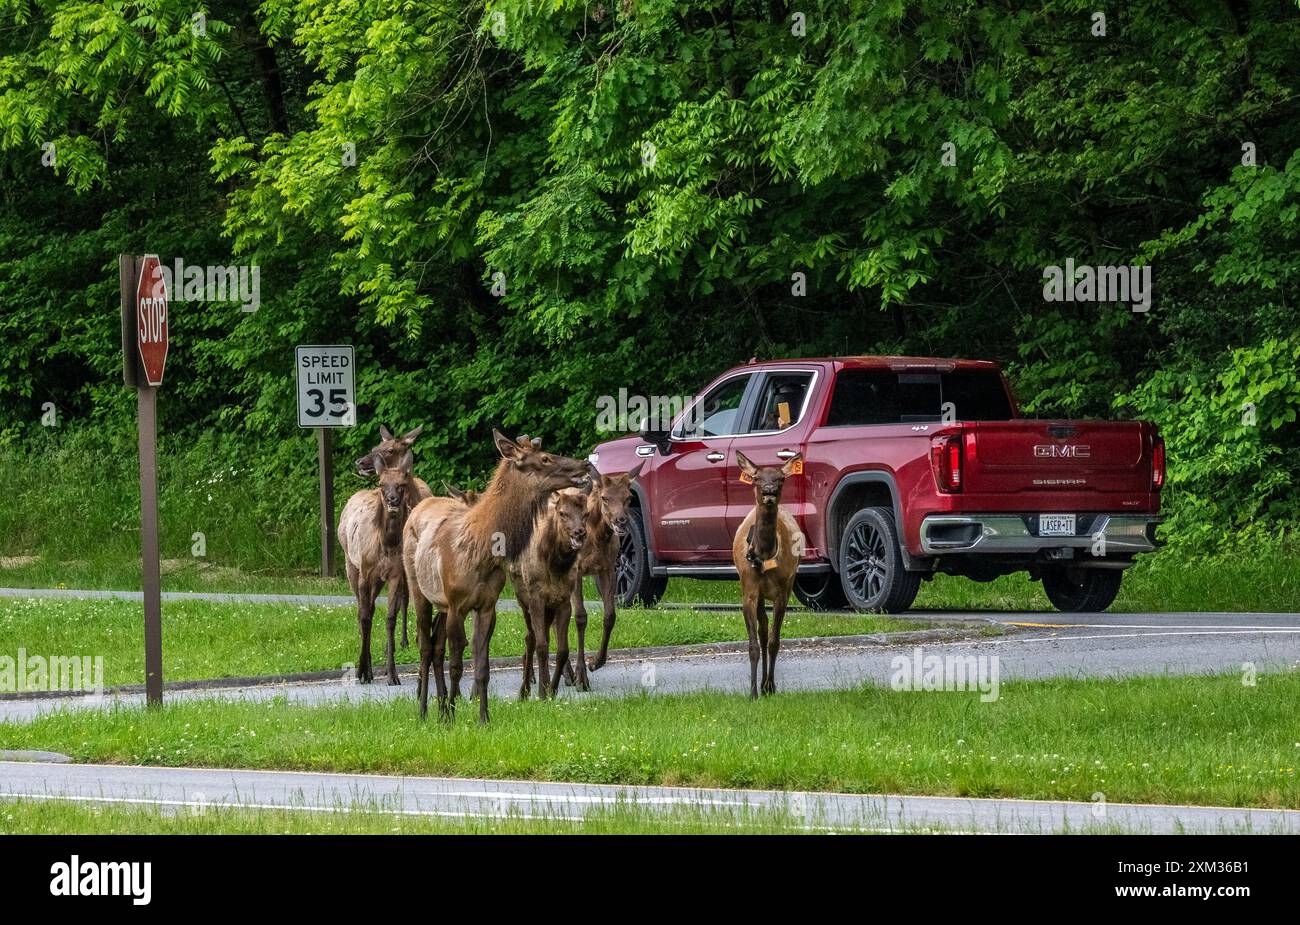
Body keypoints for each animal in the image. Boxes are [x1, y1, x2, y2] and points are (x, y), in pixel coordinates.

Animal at [338, 452, 418, 680]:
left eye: (401, 484)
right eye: (382, 484)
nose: (392, 500)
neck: (387, 545)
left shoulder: (395, 575)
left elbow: (390, 617)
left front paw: (392, 674)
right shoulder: (365, 572)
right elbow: (364, 617)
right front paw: (362, 670)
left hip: (378, 579)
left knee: (371, 608)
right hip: (350, 564)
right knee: (362, 611)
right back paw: (367, 669)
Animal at [512, 488, 590, 696]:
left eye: (586, 513)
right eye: (562, 513)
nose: (579, 532)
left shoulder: (563, 600)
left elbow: (562, 650)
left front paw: (552, 690)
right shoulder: (536, 598)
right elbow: (541, 646)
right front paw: (542, 691)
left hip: (549, 607)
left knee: (542, 635)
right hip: (523, 599)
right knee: (530, 638)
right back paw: (524, 690)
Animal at [733, 452, 800, 696]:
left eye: (781, 478)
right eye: (756, 478)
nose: (769, 491)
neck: (764, 555)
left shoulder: (782, 593)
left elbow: (774, 642)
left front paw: (770, 686)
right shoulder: (749, 591)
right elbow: (754, 644)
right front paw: (753, 692)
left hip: (789, 582)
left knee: (767, 634)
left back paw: (766, 684)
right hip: (760, 594)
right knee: (762, 631)